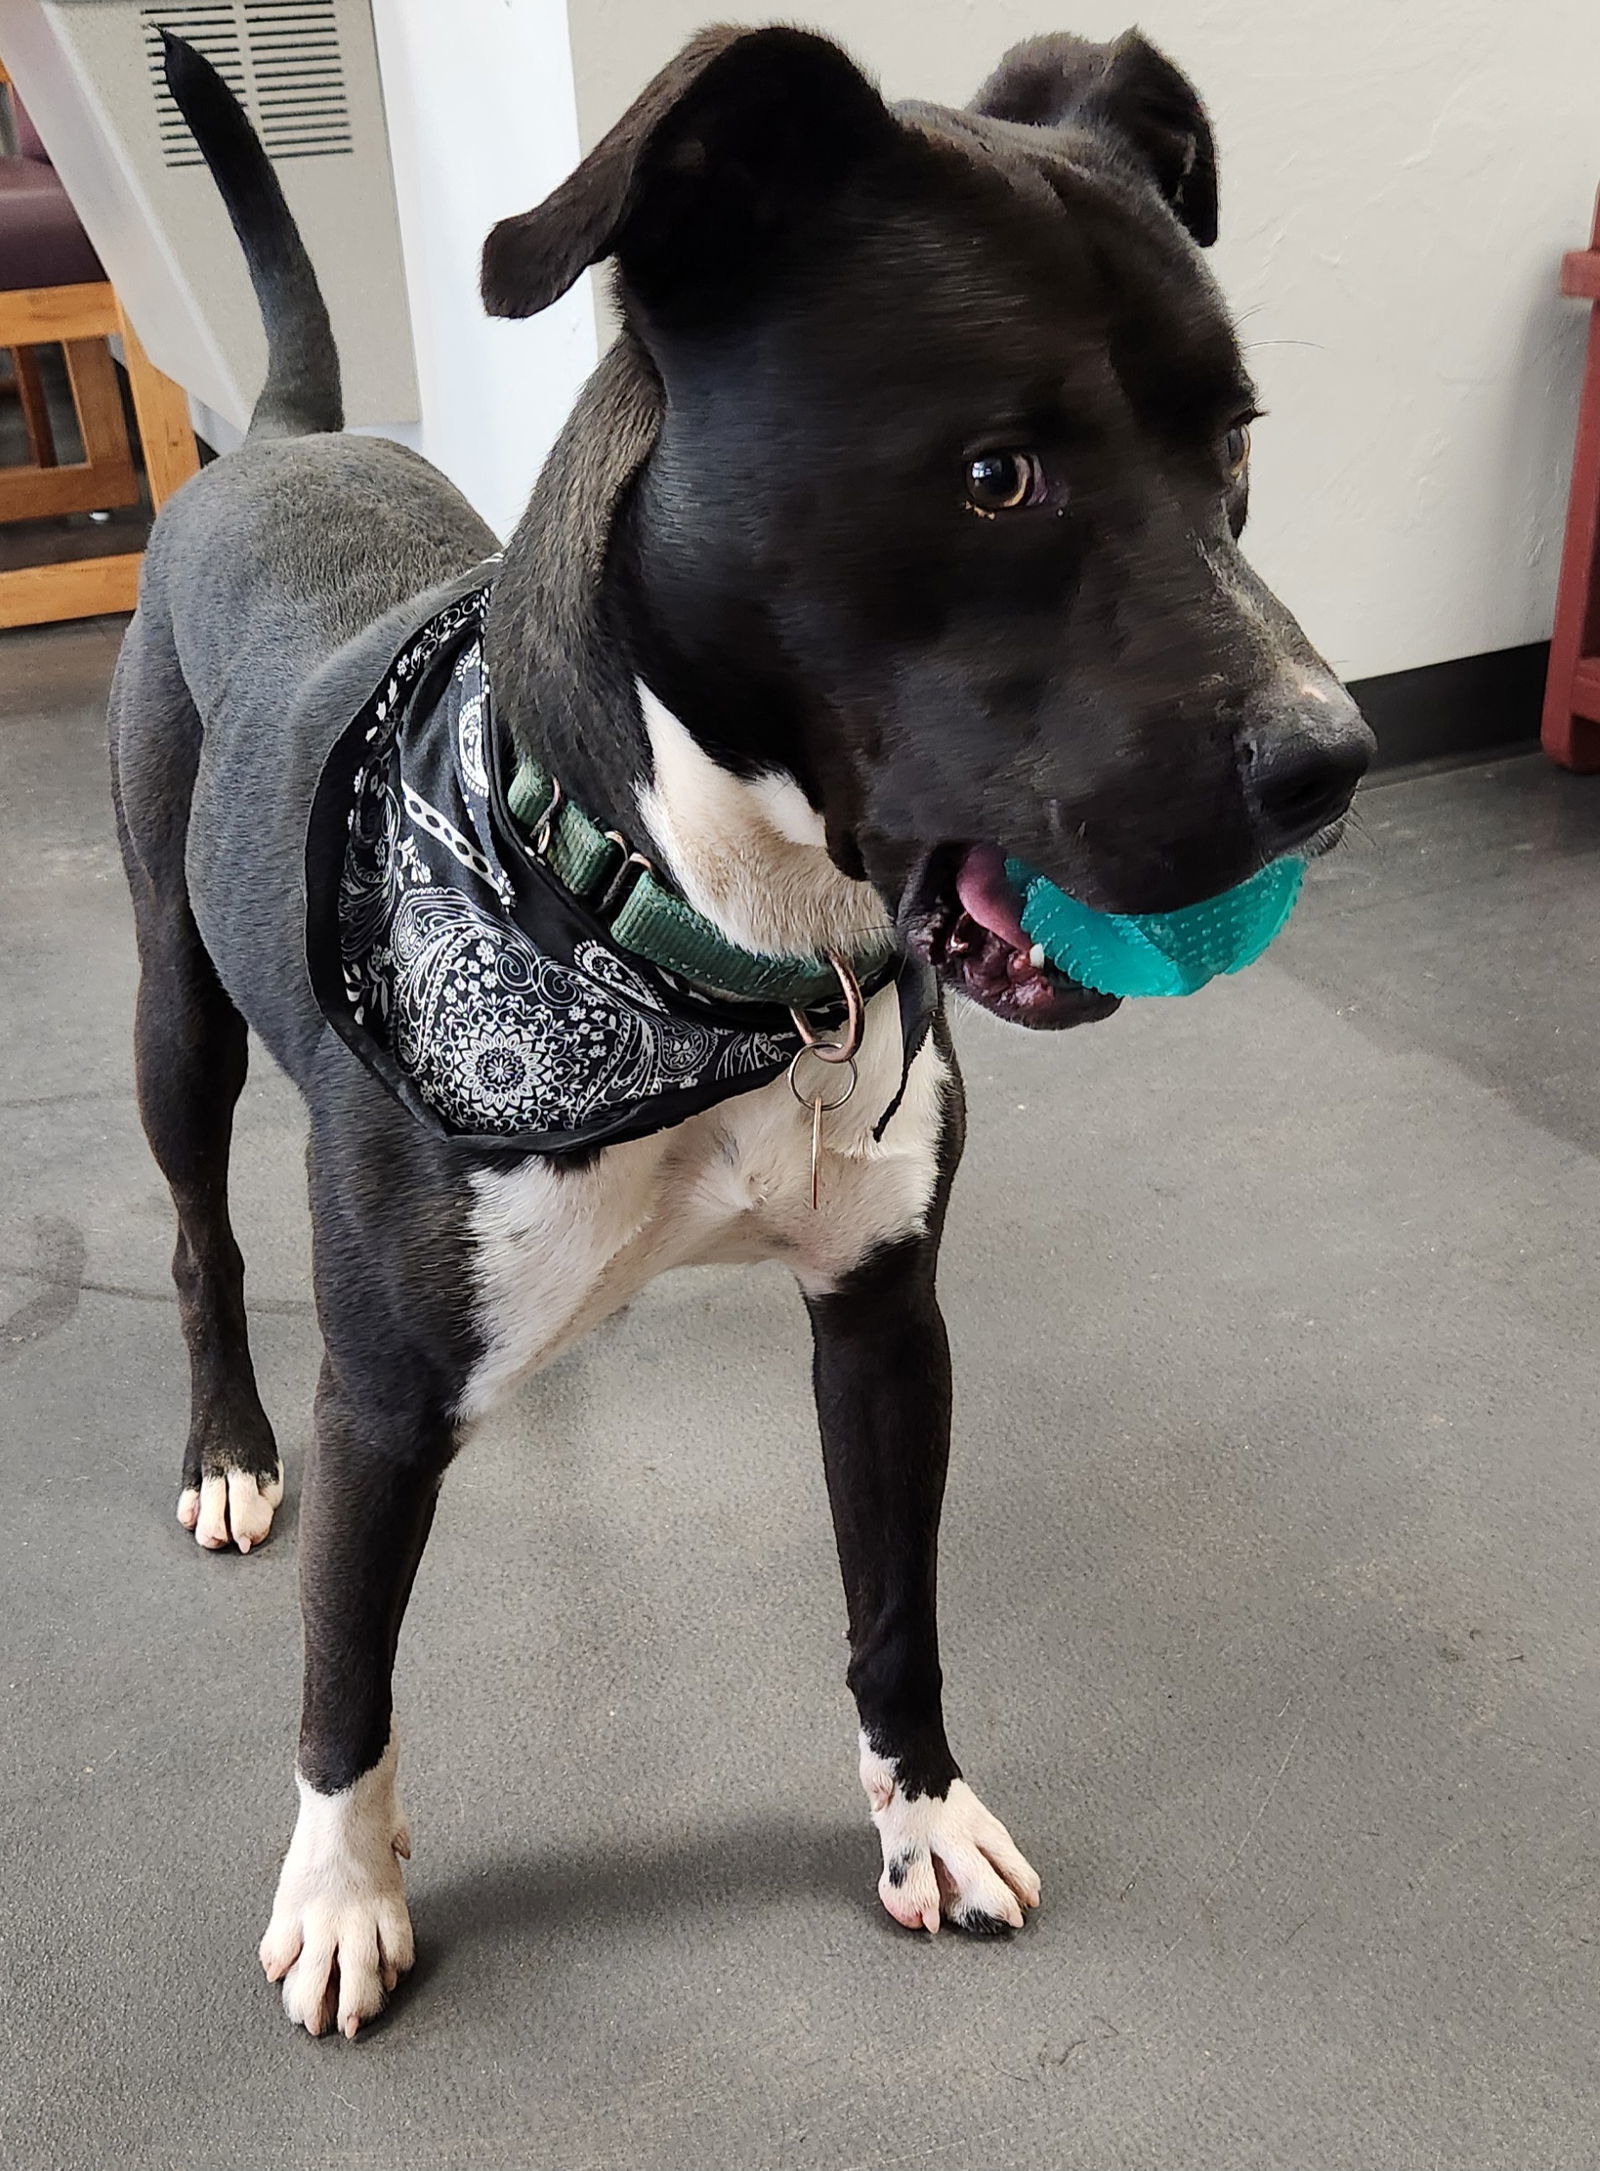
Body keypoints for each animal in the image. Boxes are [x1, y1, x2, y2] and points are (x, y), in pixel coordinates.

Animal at [109, 29, 1363, 2032]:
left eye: (1233, 444)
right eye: (998, 474)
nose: (1336, 760)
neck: (725, 959)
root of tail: (288, 437)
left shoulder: (884, 1315)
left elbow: (896, 1610)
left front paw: (923, 1820)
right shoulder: (378, 1396)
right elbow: (345, 1674)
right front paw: (341, 1885)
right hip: (177, 1009)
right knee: (199, 1239)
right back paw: (226, 1444)